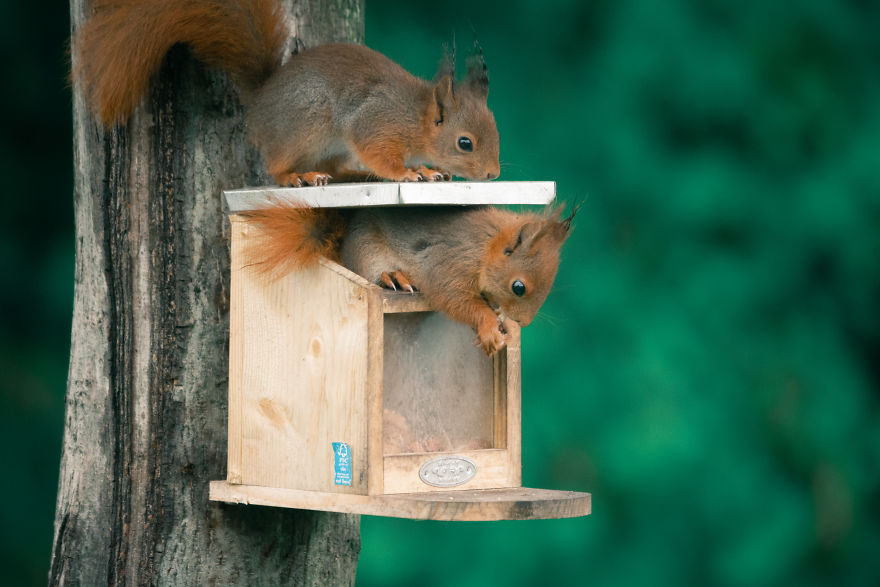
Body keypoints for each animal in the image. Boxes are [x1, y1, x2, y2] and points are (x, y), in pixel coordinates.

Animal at [73, 0, 501, 186]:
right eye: (465, 143)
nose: (493, 175)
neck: (415, 117)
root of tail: (261, 101)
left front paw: (432, 169)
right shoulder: (376, 123)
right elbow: (382, 155)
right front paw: (412, 172)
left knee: (337, 169)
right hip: (304, 126)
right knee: (276, 169)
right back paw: (299, 177)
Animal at [240, 201, 575, 355]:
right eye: (518, 286)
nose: (523, 323)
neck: (484, 248)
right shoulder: (448, 263)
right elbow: (453, 298)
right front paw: (490, 327)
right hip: (367, 252)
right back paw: (394, 275)